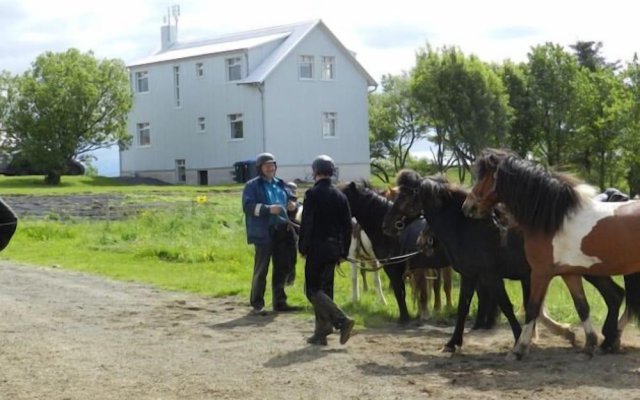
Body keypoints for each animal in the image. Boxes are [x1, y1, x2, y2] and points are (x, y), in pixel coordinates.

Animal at [380, 170, 624, 352]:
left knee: (614, 296)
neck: (467, 226)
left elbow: (507, 306)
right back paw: (609, 340)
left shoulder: (491, 276)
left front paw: (520, 339)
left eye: (404, 196)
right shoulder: (470, 276)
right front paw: (452, 343)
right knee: (614, 296)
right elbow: (462, 307)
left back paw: (608, 339)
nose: (387, 225)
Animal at [462, 148, 640, 360]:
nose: (467, 207)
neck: (553, 219)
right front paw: (588, 344)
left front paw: (519, 349)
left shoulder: (540, 273)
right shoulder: (569, 273)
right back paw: (608, 342)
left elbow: (532, 308)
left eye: (484, 176)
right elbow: (582, 307)